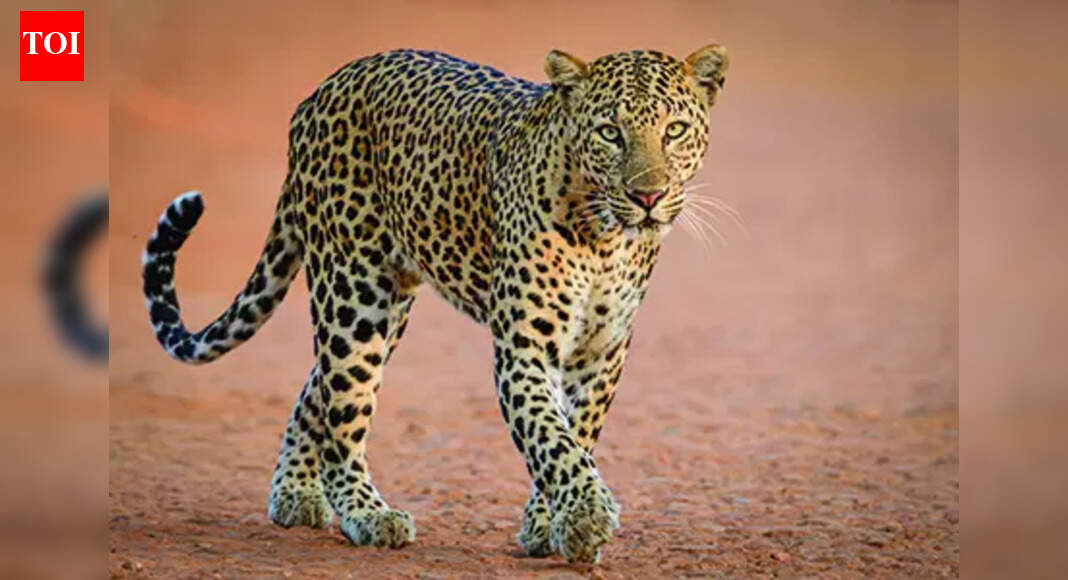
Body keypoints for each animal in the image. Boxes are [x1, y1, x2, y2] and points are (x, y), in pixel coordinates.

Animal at [142, 45, 729, 564]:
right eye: (610, 132)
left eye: (674, 131)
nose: (648, 196)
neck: (605, 240)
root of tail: (320, 92)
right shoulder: (523, 348)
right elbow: (548, 436)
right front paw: (583, 515)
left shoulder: (601, 354)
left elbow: (576, 435)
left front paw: (549, 525)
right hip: (354, 297)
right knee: (343, 412)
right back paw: (367, 514)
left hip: (385, 308)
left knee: (318, 390)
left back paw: (295, 493)